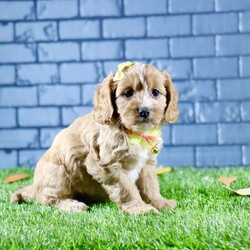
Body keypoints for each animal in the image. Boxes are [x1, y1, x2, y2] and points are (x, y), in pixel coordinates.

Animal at [11, 62, 179, 215]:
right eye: (128, 93)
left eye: (155, 92)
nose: (144, 111)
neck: (133, 133)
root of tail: (34, 187)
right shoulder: (107, 164)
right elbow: (126, 188)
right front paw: (140, 209)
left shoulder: (147, 163)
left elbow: (150, 184)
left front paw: (159, 202)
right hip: (58, 173)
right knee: (48, 199)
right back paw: (71, 205)